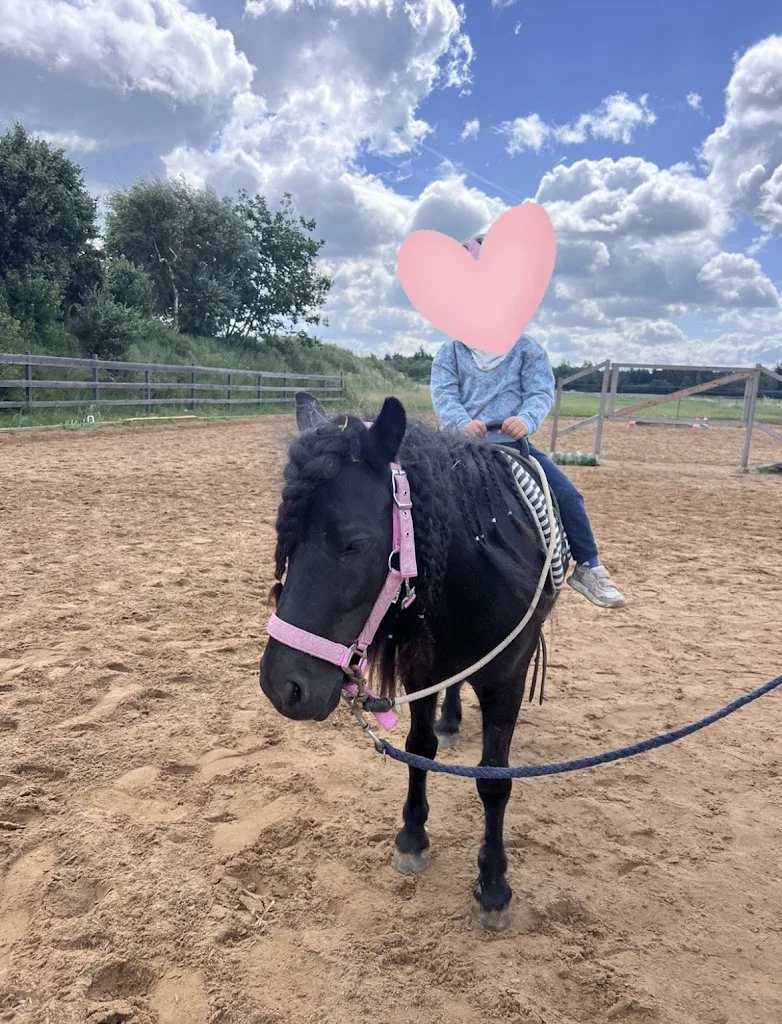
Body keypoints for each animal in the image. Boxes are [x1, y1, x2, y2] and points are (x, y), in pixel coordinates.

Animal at [259, 392, 559, 931]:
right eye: (284, 538)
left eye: (354, 544)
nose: (282, 686)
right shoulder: (424, 669)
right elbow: (419, 749)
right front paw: (413, 838)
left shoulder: (506, 680)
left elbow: (495, 781)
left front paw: (494, 885)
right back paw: (451, 719)